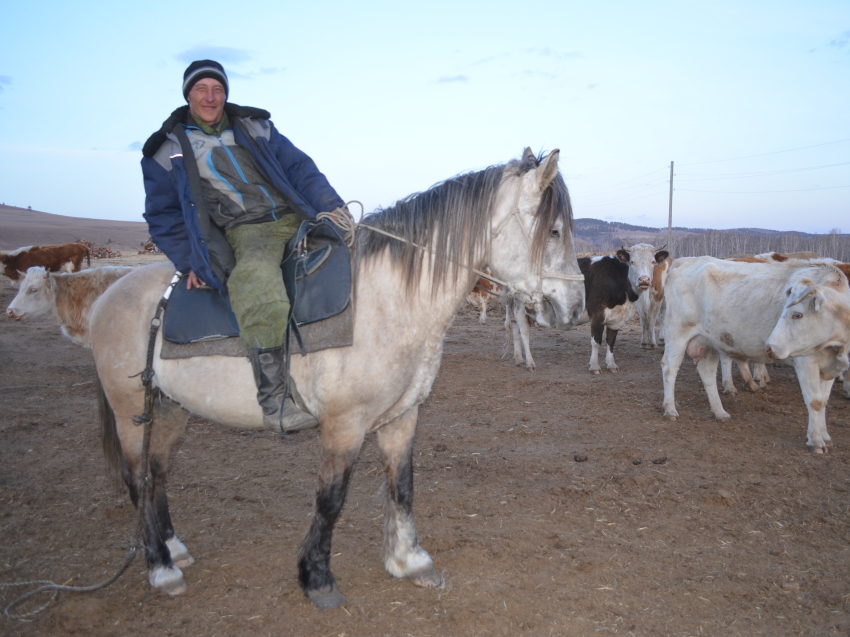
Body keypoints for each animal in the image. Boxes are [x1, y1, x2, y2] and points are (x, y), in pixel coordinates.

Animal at [91, 147, 584, 608]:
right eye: (554, 231)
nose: (575, 308)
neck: (387, 303)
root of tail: (105, 296)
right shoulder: (344, 426)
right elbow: (331, 500)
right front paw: (317, 578)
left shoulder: (402, 417)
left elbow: (402, 485)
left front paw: (409, 561)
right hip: (131, 412)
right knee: (138, 479)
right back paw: (160, 568)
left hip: (171, 410)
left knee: (158, 474)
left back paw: (173, 547)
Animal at [576, 243, 668, 372]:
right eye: (632, 261)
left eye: (653, 261)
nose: (644, 279)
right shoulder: (597, 314)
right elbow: (596, 341)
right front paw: (594, 366)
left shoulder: (616, 318)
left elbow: (611, 341)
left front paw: (611, 365)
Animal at [664, 258, 848, 452]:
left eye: (797, 314)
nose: (770, 346)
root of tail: (687, 260)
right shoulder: (806, 361)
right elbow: (815, 401)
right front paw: (815, 441)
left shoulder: (829, 366)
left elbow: (824, 400)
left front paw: (825, 436)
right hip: (678, 333)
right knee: (669, 368)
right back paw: (670, 409)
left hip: (710, 341)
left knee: (707, 373)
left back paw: (719, 412)